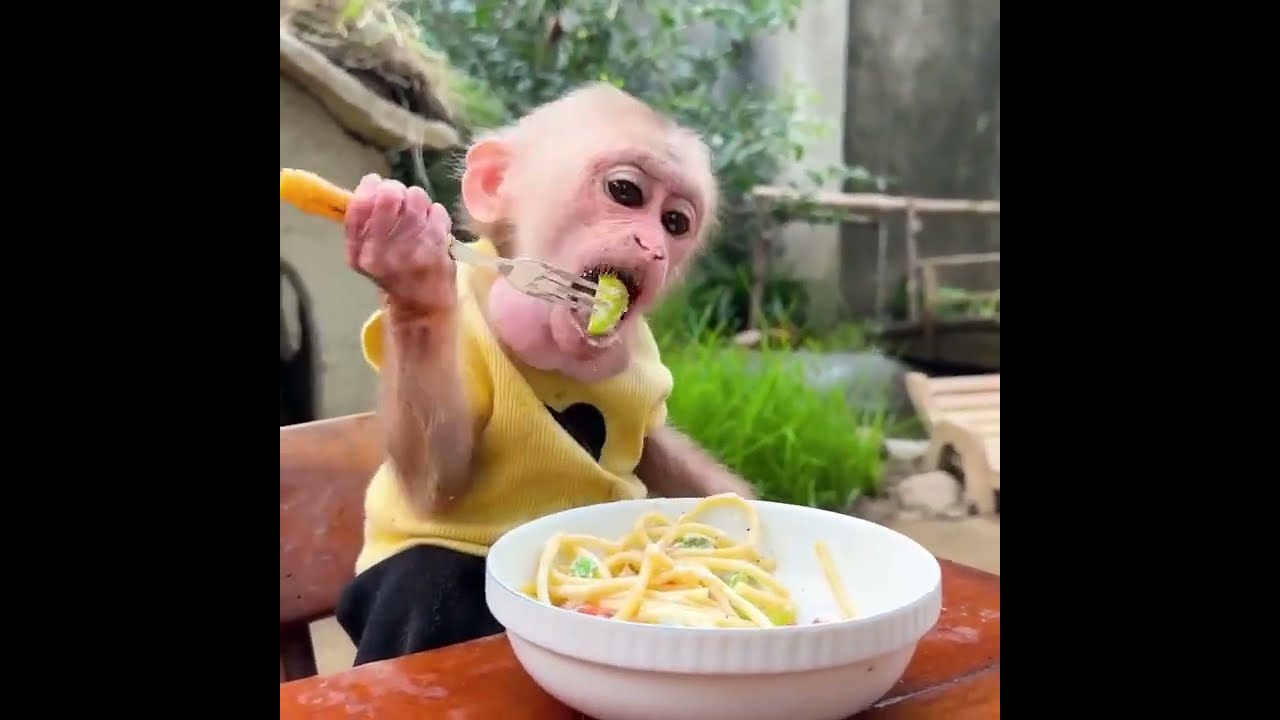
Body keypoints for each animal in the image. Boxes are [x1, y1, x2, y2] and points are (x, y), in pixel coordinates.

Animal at [333, 83, 758, 665]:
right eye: (625, 192)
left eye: (675, 223)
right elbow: (441, 479)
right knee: (422, 575)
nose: (653, 248)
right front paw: (411, 267)